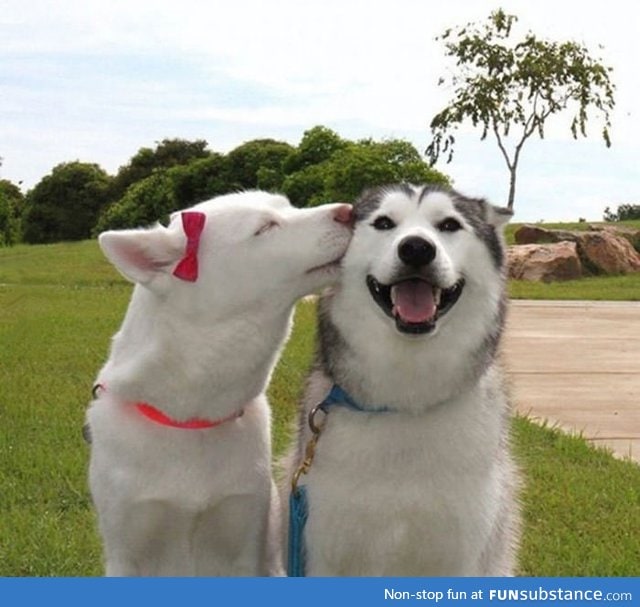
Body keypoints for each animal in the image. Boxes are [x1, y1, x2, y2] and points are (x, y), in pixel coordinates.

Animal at [86, 192, 350, 576]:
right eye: (264, 227)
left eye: (289, 206)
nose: (351, 211)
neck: (193, 421)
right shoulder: (127, 552)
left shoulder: (246, 540)